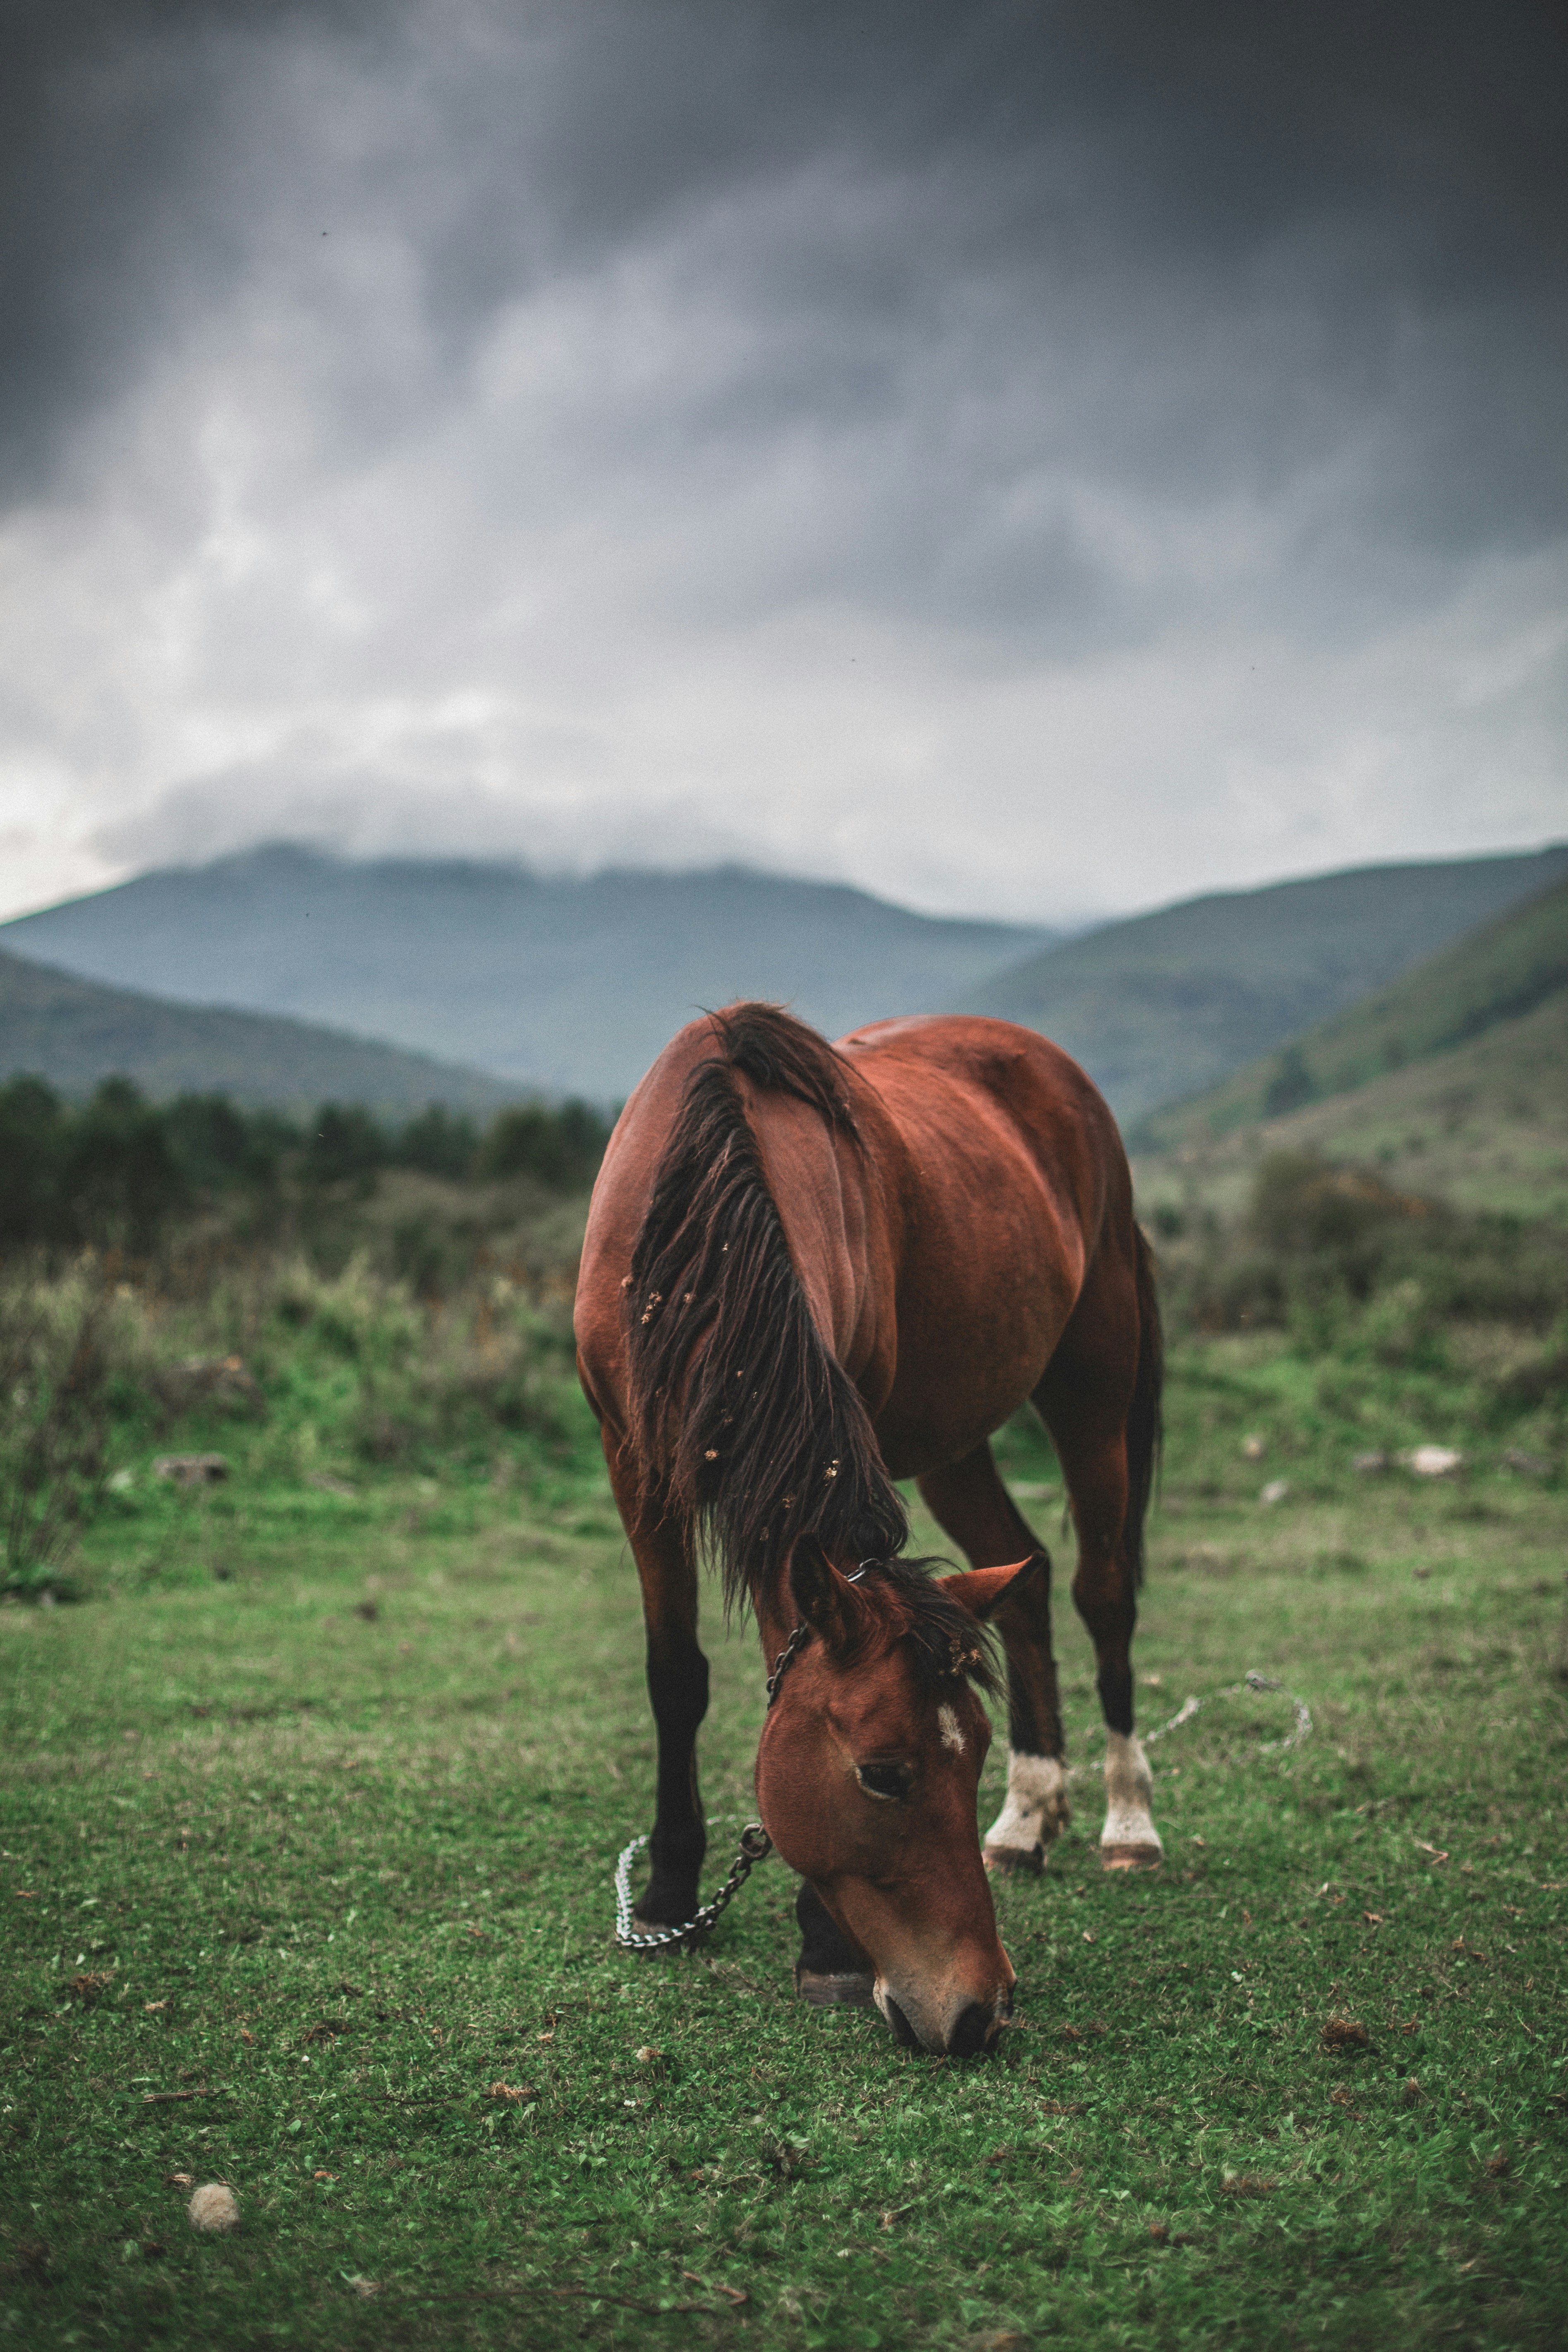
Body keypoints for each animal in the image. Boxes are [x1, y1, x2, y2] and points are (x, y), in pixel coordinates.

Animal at [574, 1002, 1162, 2057]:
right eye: (883, 1774)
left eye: (966, 1752)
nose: (977, 2010)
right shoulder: (632, 1458)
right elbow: (674, 1675)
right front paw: (670, 1892)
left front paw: (823, 1946)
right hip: (953, 1438)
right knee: (1026, 1581)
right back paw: (1024, 1824)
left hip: (1091, 1391)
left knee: (1102, 1592)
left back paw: (1128, 1824)